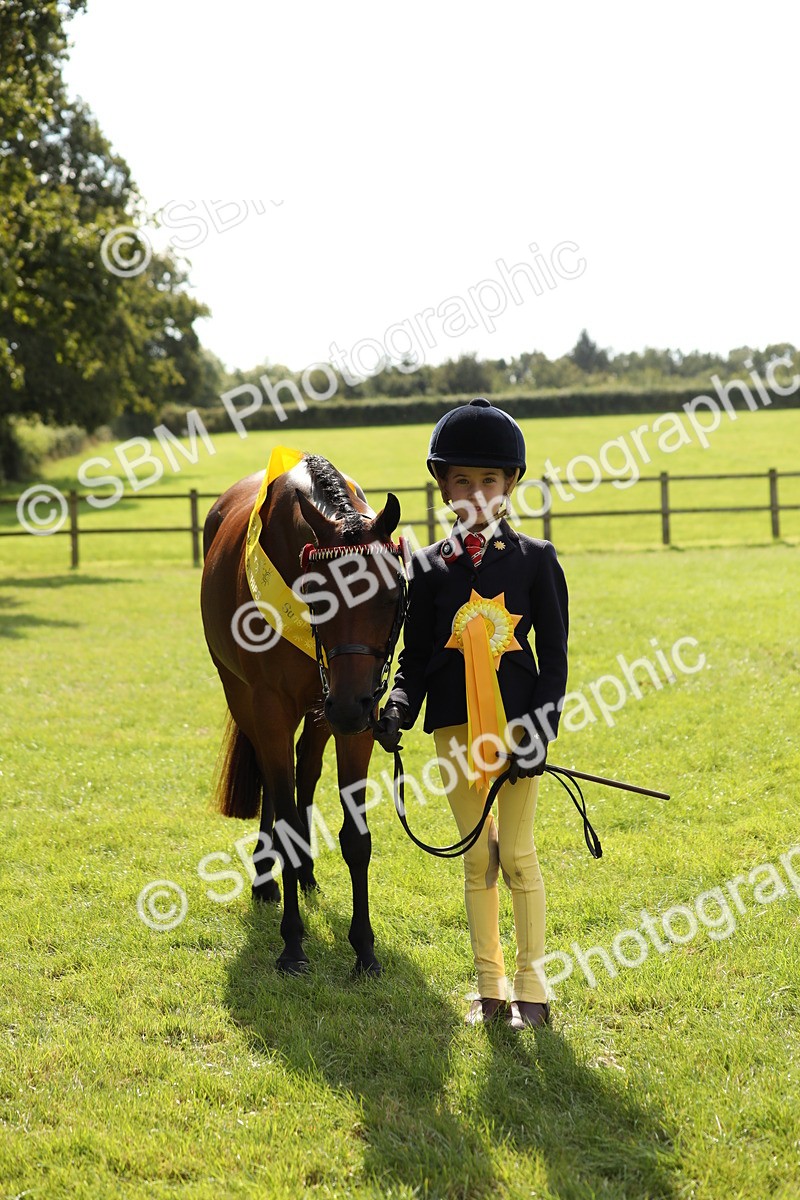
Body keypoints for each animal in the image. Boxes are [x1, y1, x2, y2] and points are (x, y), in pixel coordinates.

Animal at [200, 451, 405, 976]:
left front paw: (364, 949)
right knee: (277, 788)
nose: (350, 706)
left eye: (393, 595)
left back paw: (306, 873)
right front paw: (292, 942)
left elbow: (356, 837)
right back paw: (265, 877)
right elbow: (285, 816)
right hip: (248, 699)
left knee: (303, 776)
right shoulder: (271, 708)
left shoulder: (353, 720)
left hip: (321, 715)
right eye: (319, 594)